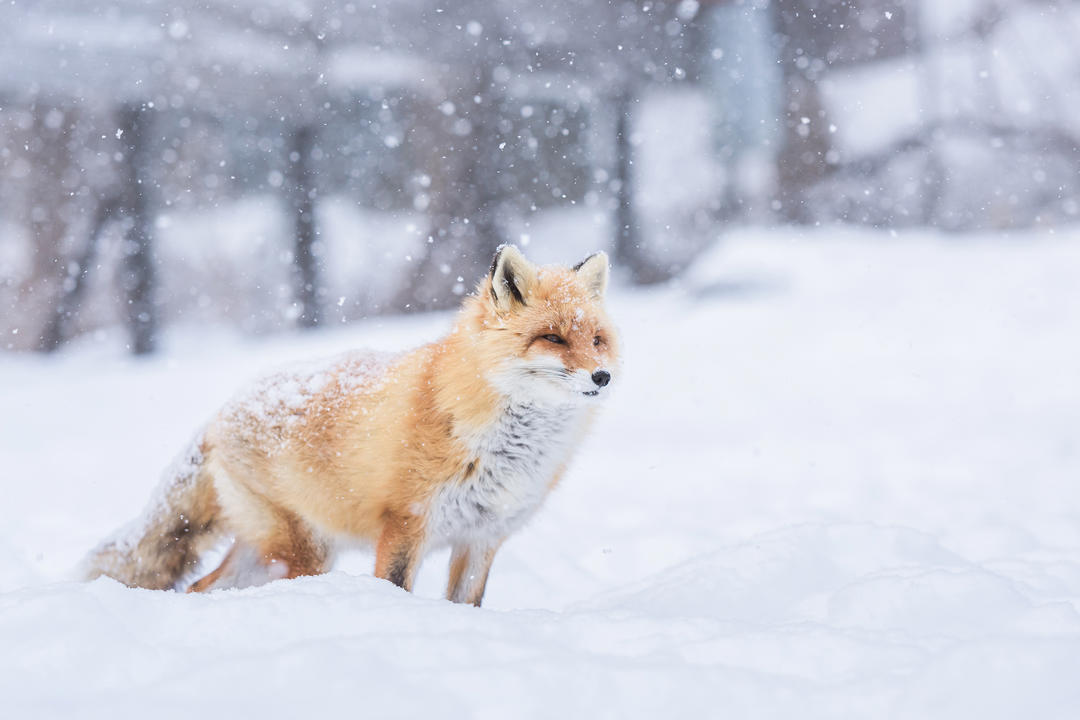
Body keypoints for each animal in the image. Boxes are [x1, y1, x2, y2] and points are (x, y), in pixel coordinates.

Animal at [86, 245, 617, 604]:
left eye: (596, 340)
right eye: (552, 338)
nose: (602, 376)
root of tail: (223, 409)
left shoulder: (482, 538)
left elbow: (467, 602)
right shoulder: (406, 524)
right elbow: (395, 587)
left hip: (267, 553)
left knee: (199, 587)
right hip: (305, 553)